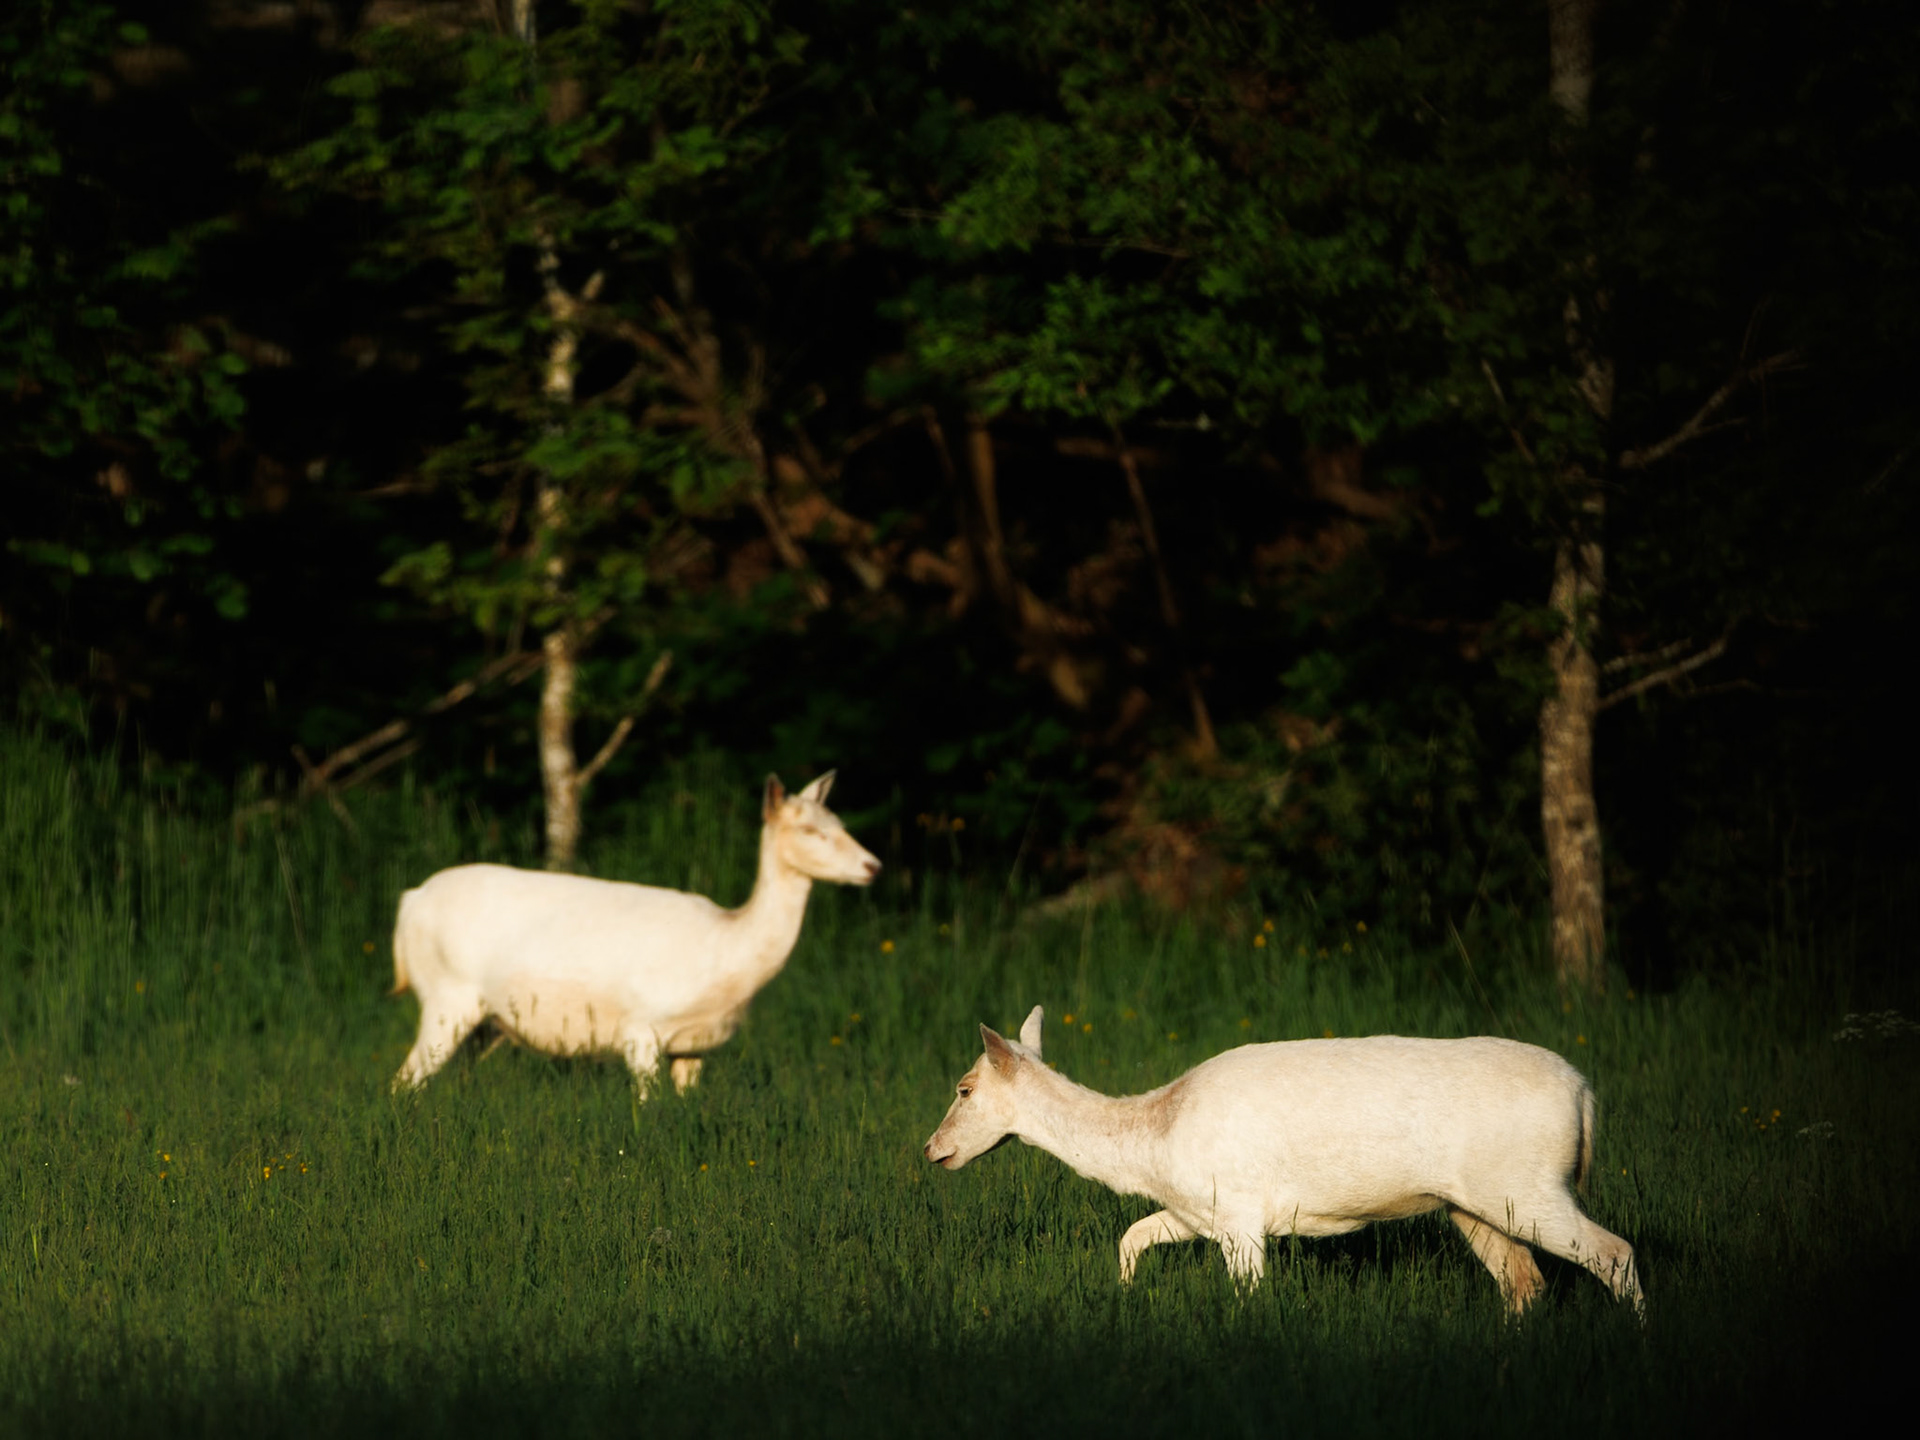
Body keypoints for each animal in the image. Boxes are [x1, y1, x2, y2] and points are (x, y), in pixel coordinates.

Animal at [389, 772, 879, 1096]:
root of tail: (410, 902)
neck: (728, 950)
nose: (873, 865)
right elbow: (648, 1107)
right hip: (446, 994)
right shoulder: (641, 1028)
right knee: (402, 1082)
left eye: (841, 823)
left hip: (485, 1023)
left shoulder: (695, 1046)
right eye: (810, 829)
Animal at [923, 1006, 1643, 1316]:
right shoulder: (1202, 1208)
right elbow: (1132, 1236)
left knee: (1614, 1252)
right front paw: (1124, 1300)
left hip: (1529, 1181)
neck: (1155, 1138)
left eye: (963, 1089)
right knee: (1524, 1283)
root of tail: (1584, 1095)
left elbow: (1248, 1296)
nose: (931, 1149)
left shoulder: (1241, 1213)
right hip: (1476, 1203)